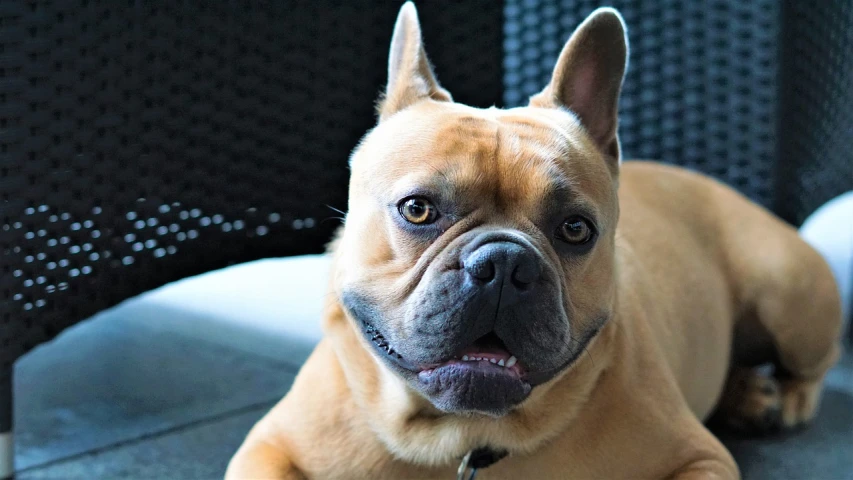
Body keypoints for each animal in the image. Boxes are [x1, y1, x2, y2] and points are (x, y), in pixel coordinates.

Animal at [223, 2, 844, 476]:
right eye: (418, 209)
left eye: (575, 229)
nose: (504, 263)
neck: (464, 439)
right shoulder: (269, 449)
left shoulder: (698, 459)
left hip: (787, 295)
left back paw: (782, 397)